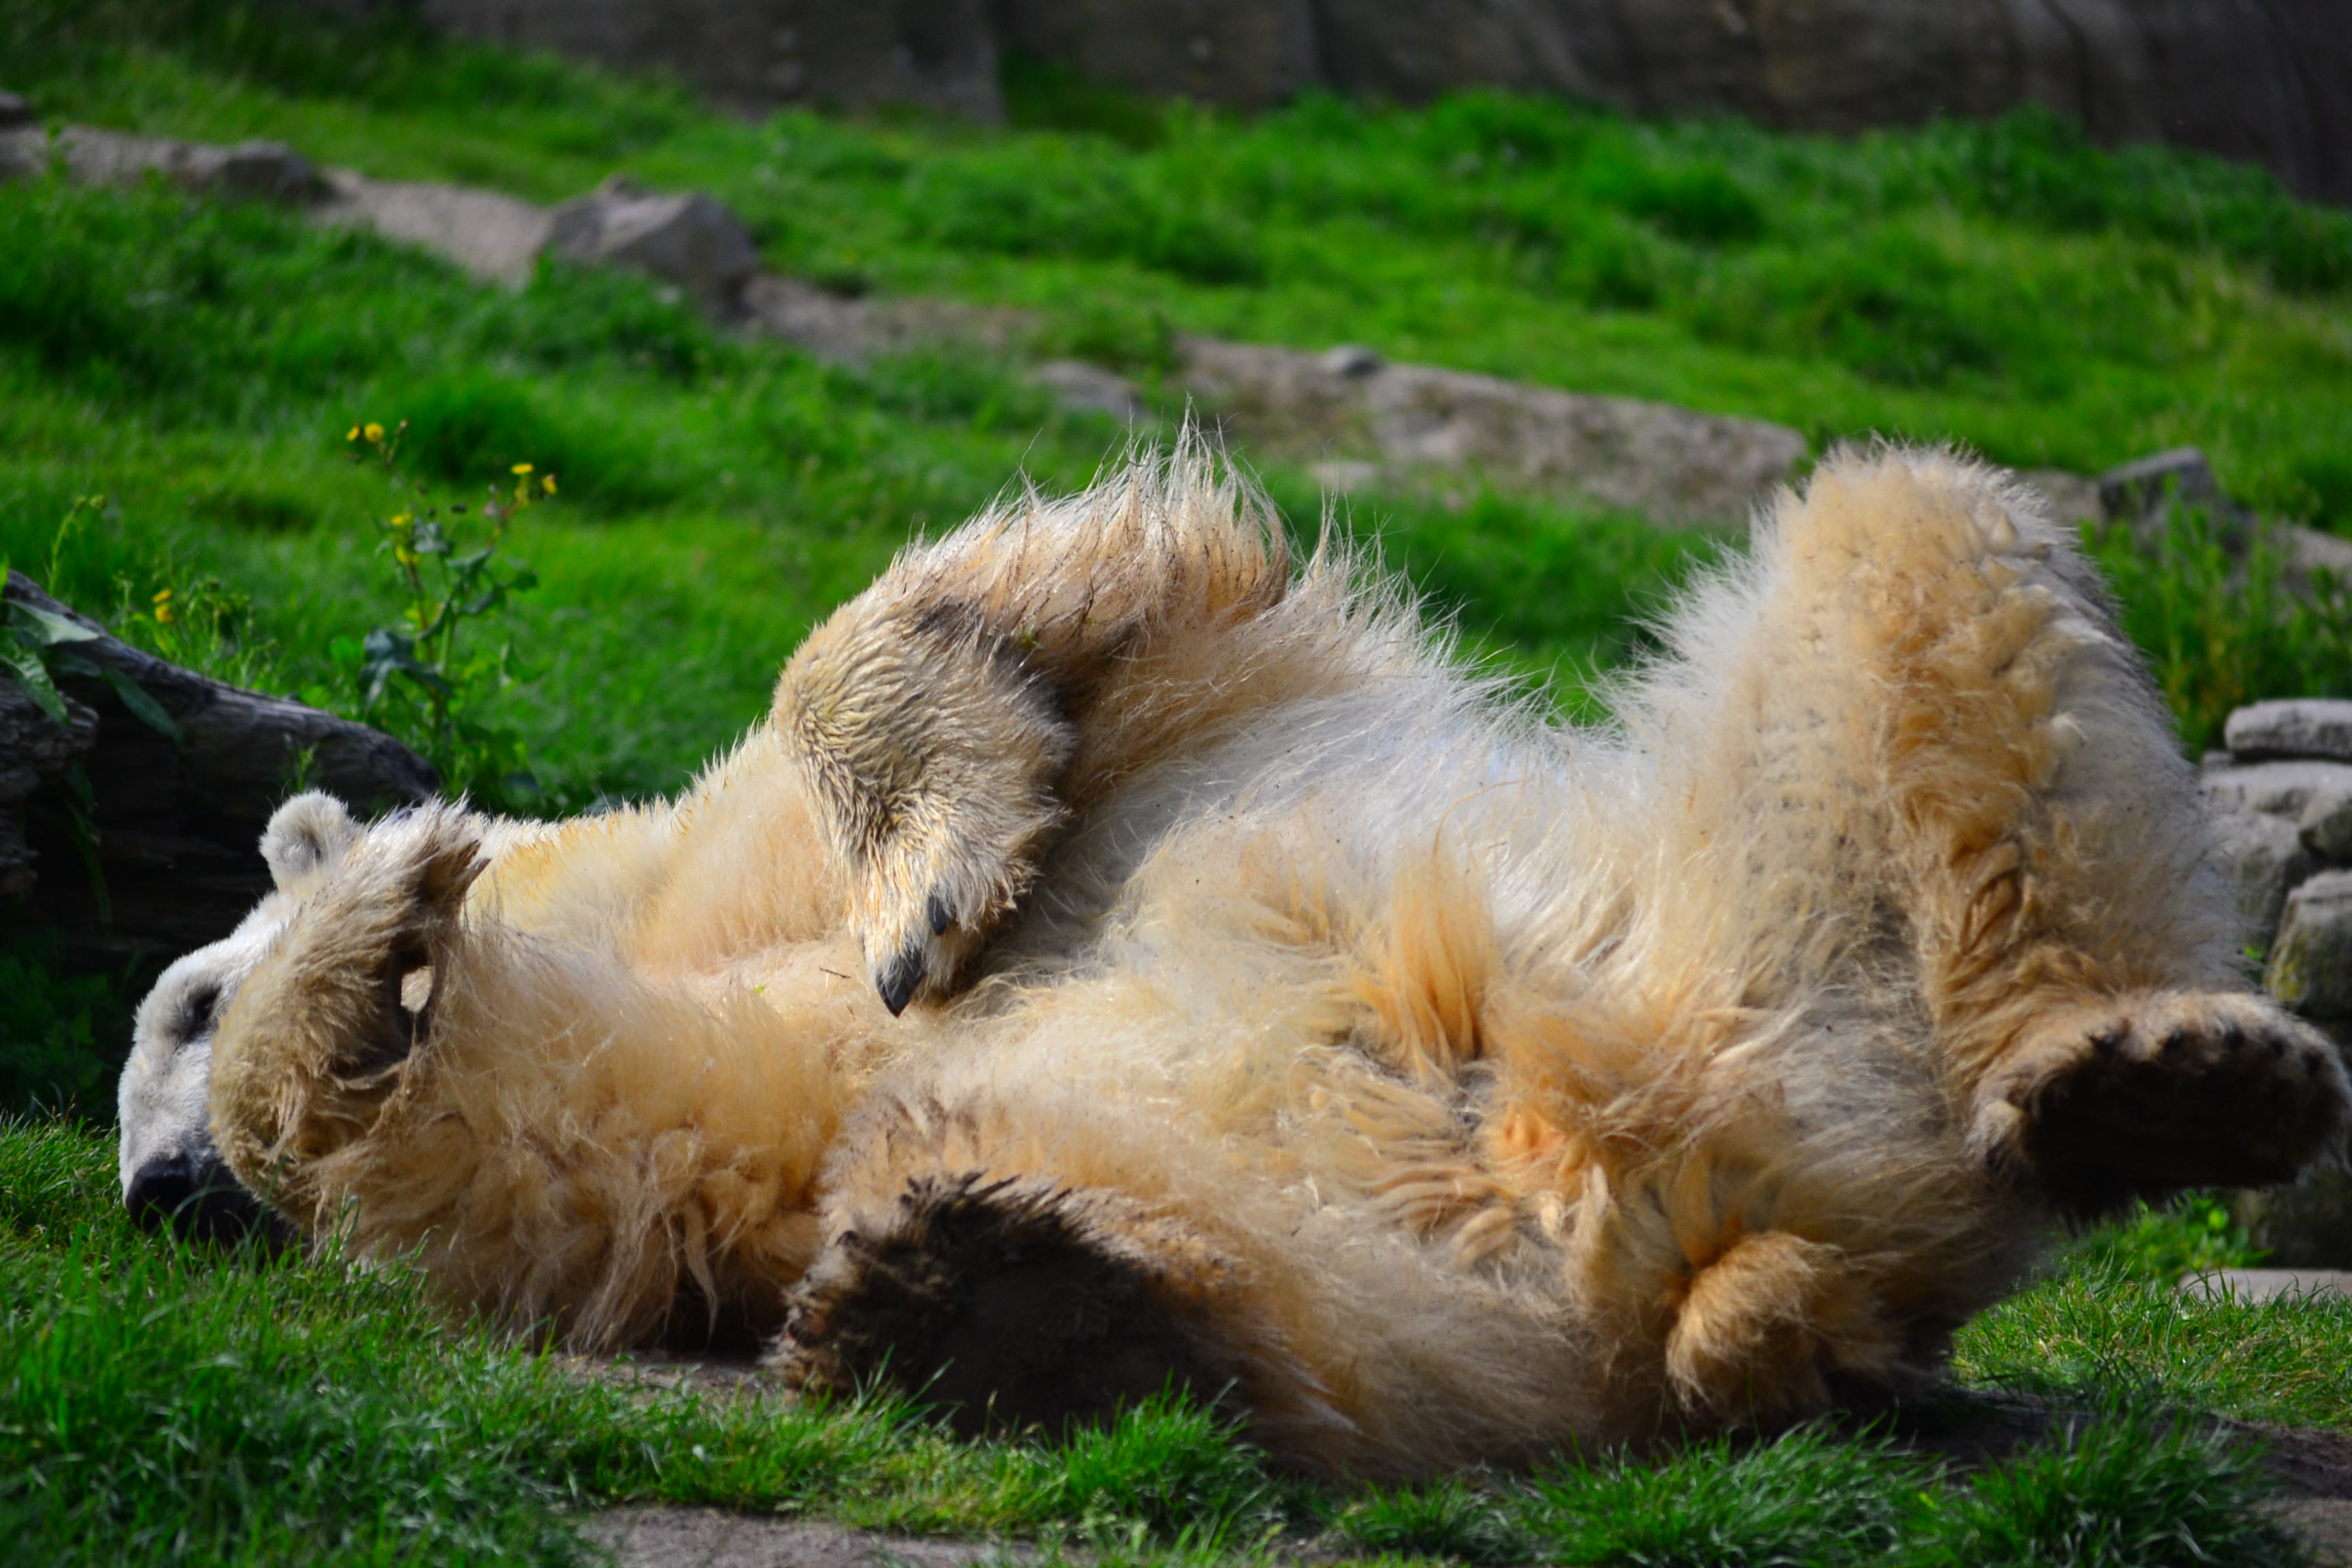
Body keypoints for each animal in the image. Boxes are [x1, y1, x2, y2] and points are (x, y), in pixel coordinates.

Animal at [191, 441, 2346, 1478]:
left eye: (170, 995)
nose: (161, 1191)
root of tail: (1700, 1212)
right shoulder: (735, 1078)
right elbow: (604, 1159)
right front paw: (385, 942)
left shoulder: (1168, 695)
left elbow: (1013, 617)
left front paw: (936, 887)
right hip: (1429, 1263)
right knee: (1253, 1282)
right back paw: (995, 1295)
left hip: (1787, 914)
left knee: (1919, 545)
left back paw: (2157, 1074)